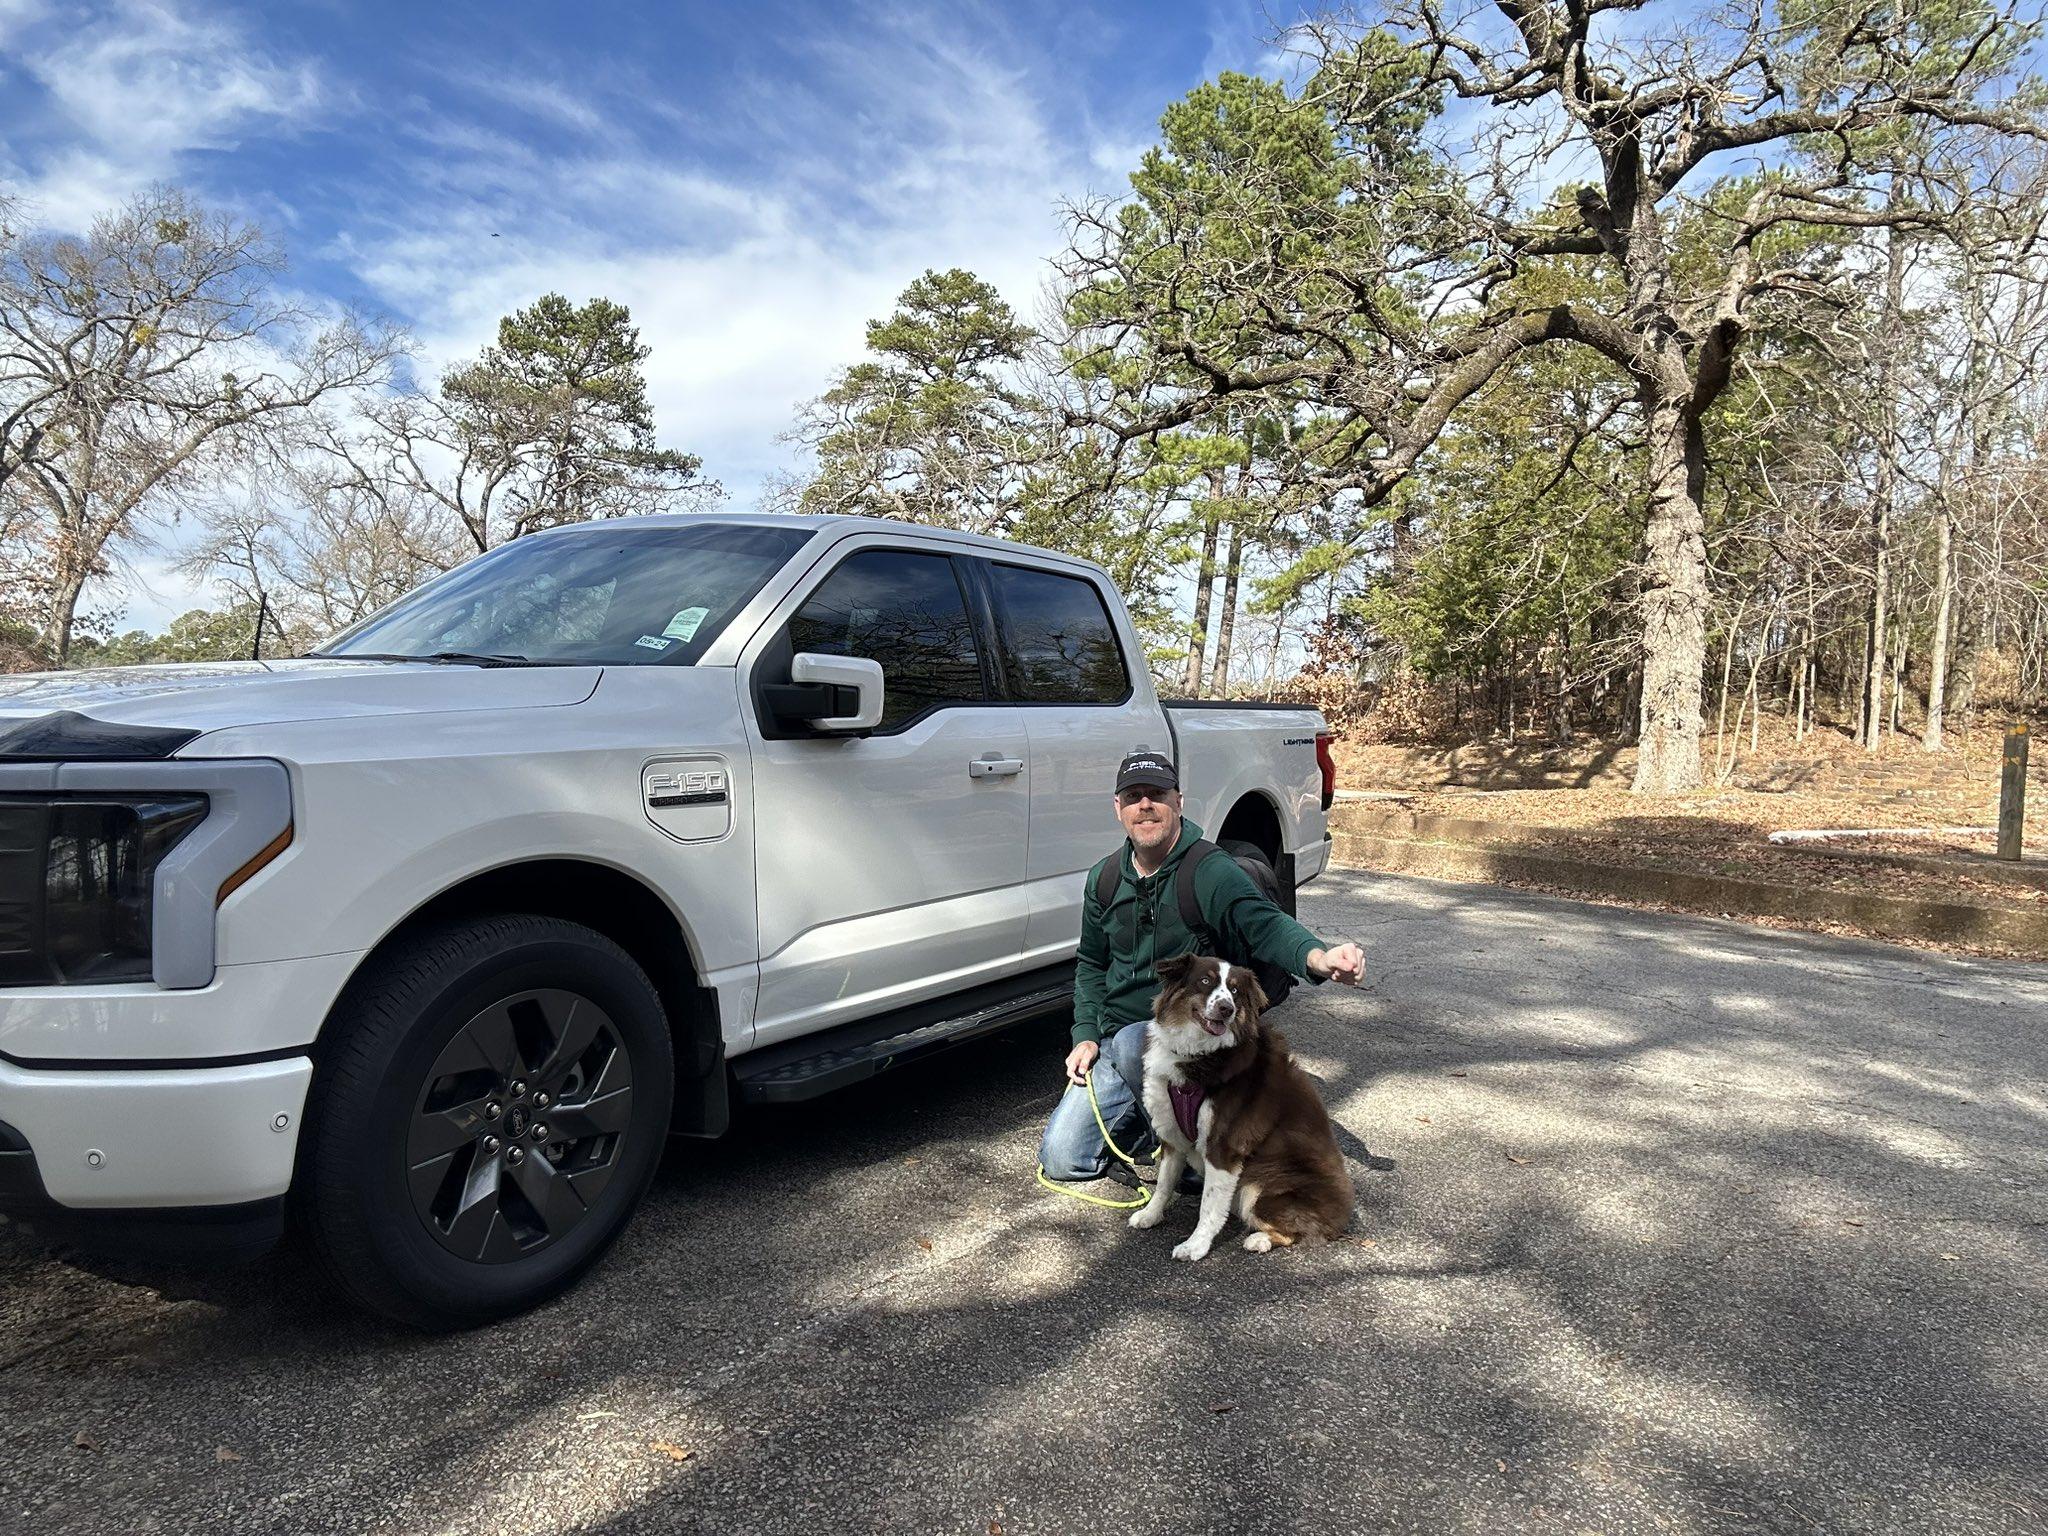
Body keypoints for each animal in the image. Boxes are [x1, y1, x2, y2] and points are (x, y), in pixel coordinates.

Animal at [1130, 962, 1351, 1261]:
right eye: (1205, 981)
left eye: (1234, 991)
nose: (1226, 1009)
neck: (1200, 1054)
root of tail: (1341, 1219)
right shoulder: (1172, 1134)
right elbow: (1164, 1183)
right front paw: (1150, 1215)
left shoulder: (1223, 1147)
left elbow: (1209, 1205)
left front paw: (1195, 1246)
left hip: (1258, 1189)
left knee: (1295, 1232)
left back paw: (1259, 1240)